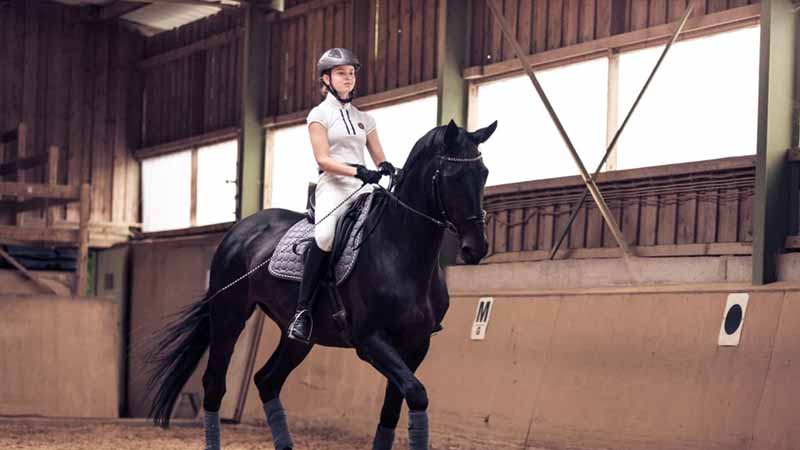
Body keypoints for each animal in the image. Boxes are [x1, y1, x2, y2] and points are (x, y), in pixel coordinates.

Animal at [145, 118, 497, 450]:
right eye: (452, 176)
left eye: (483, 173)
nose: (476, 248)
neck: (400, 251)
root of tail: (239, 230)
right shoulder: (370, 340)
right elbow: (416, 392)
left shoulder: (416, 344)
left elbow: (396, 408)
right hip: (229, 317)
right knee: (215, 385)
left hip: (299, 337)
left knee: (267, 380)